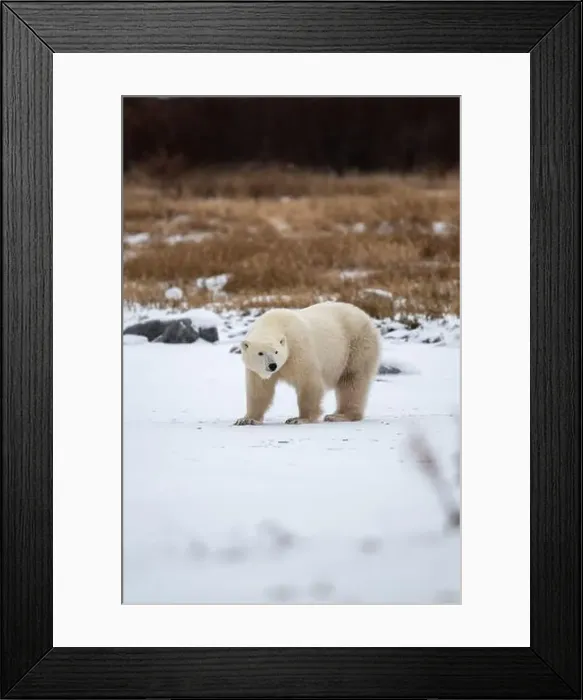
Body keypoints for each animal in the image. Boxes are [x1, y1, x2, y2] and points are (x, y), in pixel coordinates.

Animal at [234, 301, 381, 425]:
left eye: (276, 351)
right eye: (260, 353)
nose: (272, 365)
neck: (274, 323)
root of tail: (366, 316)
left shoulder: (297, 349)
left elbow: (308, 382)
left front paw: (299, 419)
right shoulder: (256, 371)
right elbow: (259, 389)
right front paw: (247, 419)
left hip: (356, 344)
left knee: (352, 379)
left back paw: (339, 416)